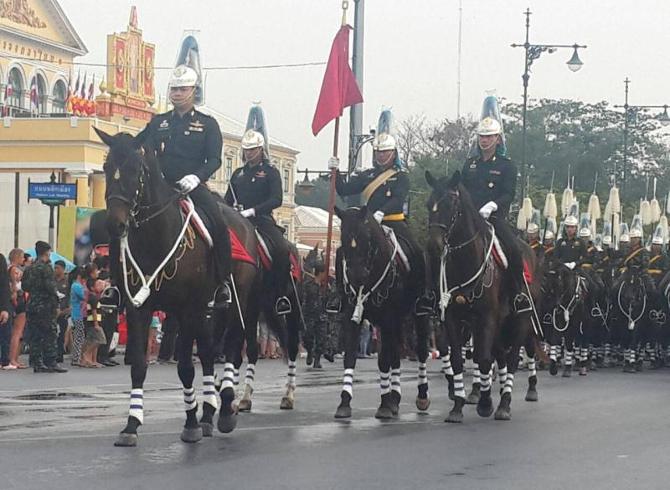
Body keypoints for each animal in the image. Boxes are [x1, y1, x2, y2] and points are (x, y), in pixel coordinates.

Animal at [334, 205, 434, 420]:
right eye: (343, 237)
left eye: (366, 237)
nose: (356, 275)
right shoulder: (352, 316)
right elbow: (350, 356)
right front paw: (345, 402)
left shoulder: (388, 318)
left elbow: (383, 360)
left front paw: (384, 404)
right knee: (396, 352)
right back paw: (395, 397)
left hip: (418, 315)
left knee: (420, 350)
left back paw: (421, 396)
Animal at [428, 171, 544, 422]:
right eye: (428, 205)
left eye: (450, 204)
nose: (433, 245)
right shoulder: (453, 318)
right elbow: (458, 360)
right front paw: (458, 405)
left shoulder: (487, 318)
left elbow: (483, 358)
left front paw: (485, 403)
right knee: (500, 355)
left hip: (520, 320)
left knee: (512, 358)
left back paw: (506, 402)